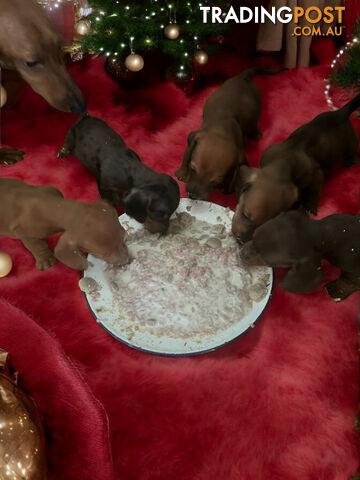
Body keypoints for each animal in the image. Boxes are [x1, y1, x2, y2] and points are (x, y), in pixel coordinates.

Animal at [0, 178, 129, 272]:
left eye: (123, 237)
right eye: (103, 254)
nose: (127, 260)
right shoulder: (23, 232)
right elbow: (37, 245)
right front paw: (45, 259)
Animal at [175, 67, 286, 199]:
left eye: (216, 181)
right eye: (192, 169)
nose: (192, 195)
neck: (221, 130)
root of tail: (244, 76)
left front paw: (227, 187)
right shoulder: (194, 137)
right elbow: (186, 154)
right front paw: (182, 173)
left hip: (255, 111)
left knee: (252, 123)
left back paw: (255, 132)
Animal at [231, 94, 360, 244]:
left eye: (265, 224)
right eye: (245, 215)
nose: (241, 240)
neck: (284, 161)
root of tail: (342, 112)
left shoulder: (316, 175)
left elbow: (314, 192)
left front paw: (309, 207)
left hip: (351, 145)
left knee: (352, 155)